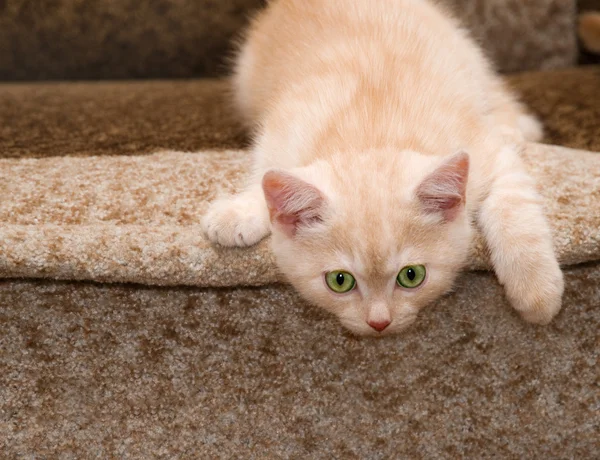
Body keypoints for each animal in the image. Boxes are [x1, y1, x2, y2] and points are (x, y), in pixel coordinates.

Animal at [202, 0, 564, 334]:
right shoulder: (283, 131)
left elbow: (515, 209)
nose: (379, 323)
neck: (371, 131)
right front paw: (239, 212)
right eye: (340, 281)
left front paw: (536, 290)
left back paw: (513, 127)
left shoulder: (486, 152)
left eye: (410, 276)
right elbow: (266, 171)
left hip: (465, 53)